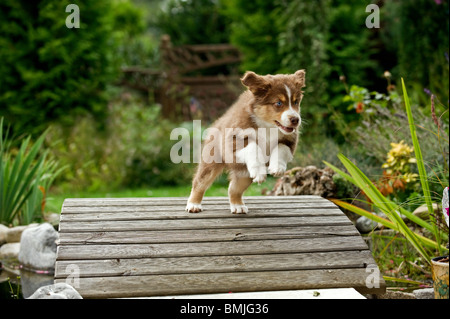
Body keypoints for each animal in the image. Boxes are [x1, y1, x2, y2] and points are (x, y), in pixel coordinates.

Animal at [185, 70, 306, 215]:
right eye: (278, 103)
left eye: (296, 102)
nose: (295, 120)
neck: (267, 126)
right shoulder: (235, 140)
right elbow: (253, 147)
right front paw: (260, 171)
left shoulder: (290, 140)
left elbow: (281, 148)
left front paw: (277, 167)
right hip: (211, 162)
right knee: (199, 183)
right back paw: (193, 204)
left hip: (244, 174)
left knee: (233, 188)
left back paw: (238, 206)